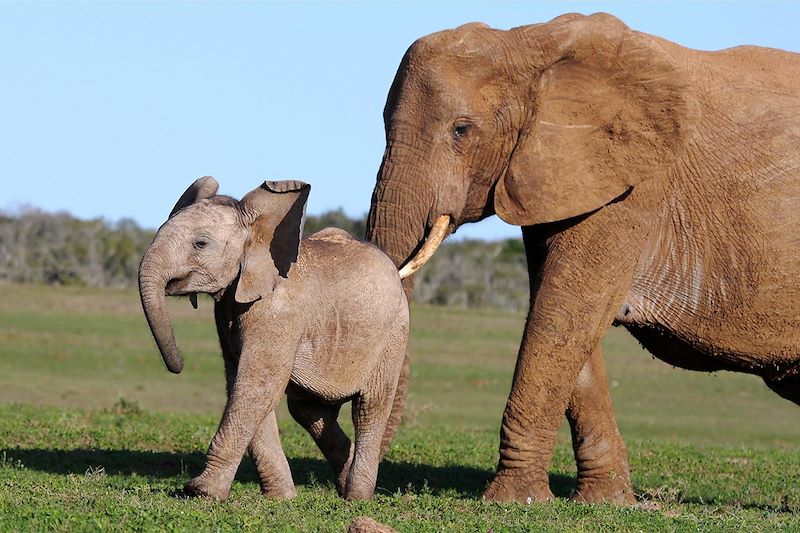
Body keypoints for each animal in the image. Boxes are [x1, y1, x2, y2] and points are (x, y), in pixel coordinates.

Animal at [138, 178, 410, 498]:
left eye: (201, 244)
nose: (178, 365)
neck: (256, 233)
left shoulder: (277, 314)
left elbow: (257, 384)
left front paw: (201, 492)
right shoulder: (228, 310)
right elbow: (243, 385)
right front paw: (282, 498)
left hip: (394, 333)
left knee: (370, 409)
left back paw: (356, 498)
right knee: (309, 411)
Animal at [368, 12, 800, 502]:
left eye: (462, 130)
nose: (354, 491)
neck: (526, 43)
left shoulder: (632, 184)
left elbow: (565, 311)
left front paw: (514, 501)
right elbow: (561, 313)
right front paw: (608, 503)